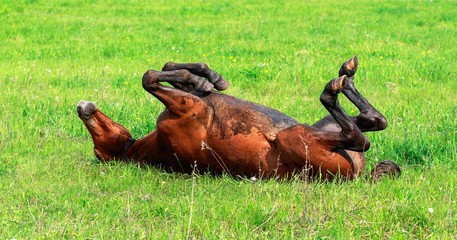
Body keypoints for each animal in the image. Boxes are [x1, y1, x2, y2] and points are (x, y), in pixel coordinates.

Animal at [77, 56, 400, 180]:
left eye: (98, 138)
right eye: (98, 150)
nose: (82, 107)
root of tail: (358, 176)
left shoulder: (190, 99)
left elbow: (169, 68)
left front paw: (209, 77)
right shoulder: (188, 107)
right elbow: (149, 77)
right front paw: (202, 78)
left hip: (315, 127)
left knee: (373, 120)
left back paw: (347, 76)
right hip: (298, 136)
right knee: (358, 134)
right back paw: (336, 85)